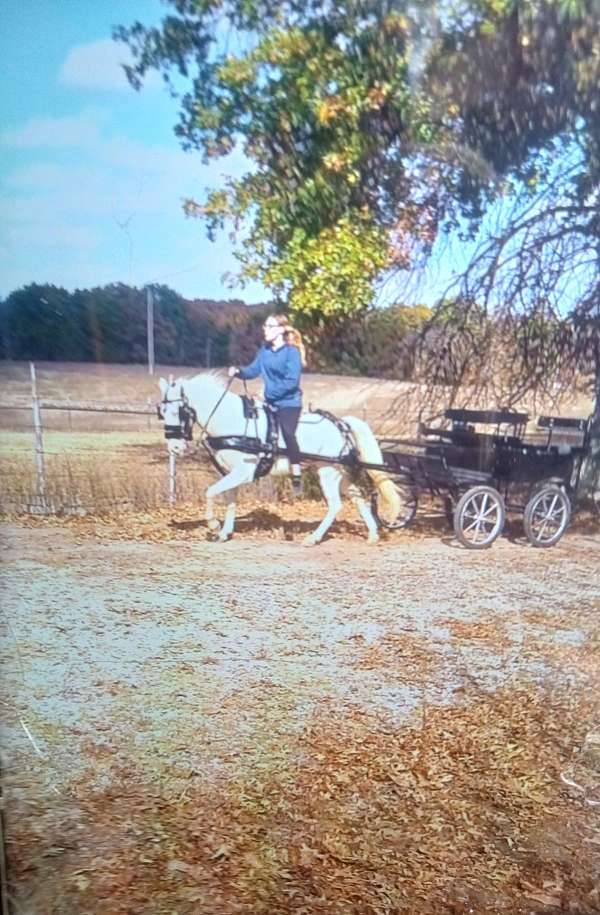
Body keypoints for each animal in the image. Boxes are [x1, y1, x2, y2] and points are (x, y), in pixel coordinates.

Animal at [159, 370, 398, 544]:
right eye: (161, 412)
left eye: (180, 411)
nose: (175, 448)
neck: (233, 420)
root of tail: (341, 423)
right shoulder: (231, 473)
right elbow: (230, 500)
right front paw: (224, 532)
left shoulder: (244, 472)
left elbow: (210, 492)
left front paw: (213, 525)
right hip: (339, 473)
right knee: (358, 498)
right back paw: (373, 535)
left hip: (327, 471)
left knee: (335, 505)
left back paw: (313, 538)